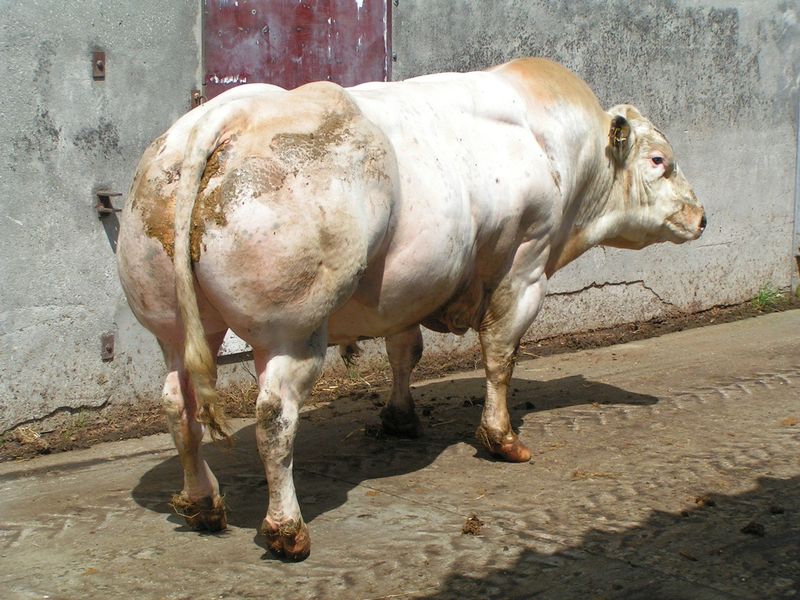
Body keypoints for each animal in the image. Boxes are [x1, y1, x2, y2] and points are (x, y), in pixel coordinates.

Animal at [115, 58, 704, 560]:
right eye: (659, 161)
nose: (702, 217)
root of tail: (224, 114)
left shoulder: (405, 287)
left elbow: (405, 350)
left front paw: (399, 417)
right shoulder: (525, 265)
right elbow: (500, 355)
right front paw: (502, 439)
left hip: (171, 325)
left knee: (178, 404)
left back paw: (201, 502)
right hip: (292, 330)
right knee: (273, 417)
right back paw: (287, 529)